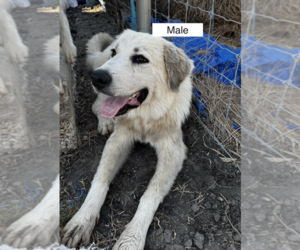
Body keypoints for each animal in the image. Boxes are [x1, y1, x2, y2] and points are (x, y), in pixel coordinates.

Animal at [61, 30, 195, 249]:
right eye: (115, 52)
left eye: (140, 59)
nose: (97, 77)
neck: (145, 118)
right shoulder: (118, 140)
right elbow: (100, 180)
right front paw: (82, 221)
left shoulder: (173, 152)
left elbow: (149, 195)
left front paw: (131, 239)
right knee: (97, 105)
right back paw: (105, 122)